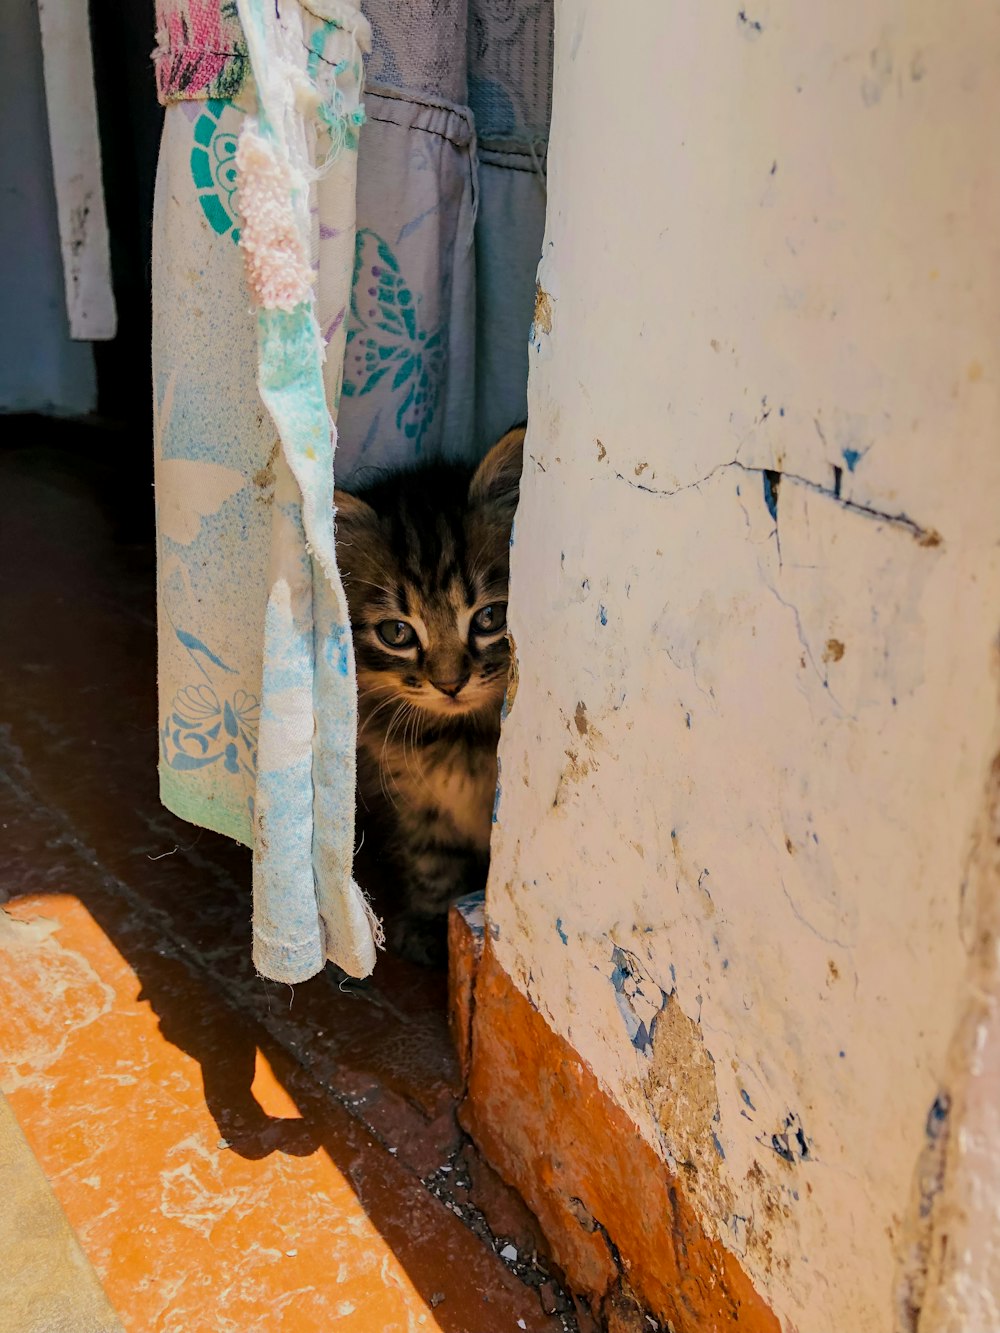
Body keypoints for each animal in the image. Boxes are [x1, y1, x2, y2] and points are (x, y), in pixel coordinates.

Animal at [334, 423, 525, 959]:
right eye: (397, 633)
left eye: (490, 618)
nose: (450, 683)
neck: (456, 736)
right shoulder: (415, 802)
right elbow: (431, 859)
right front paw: (430, 920)